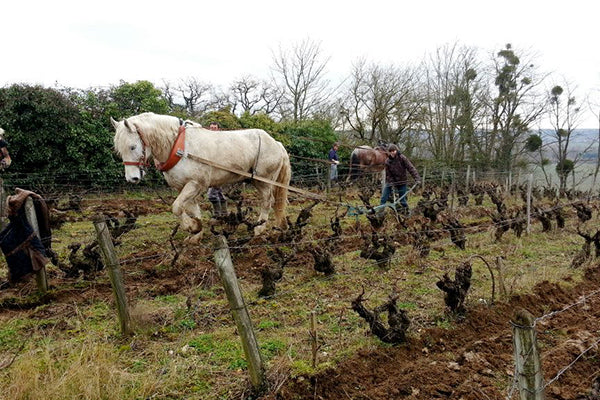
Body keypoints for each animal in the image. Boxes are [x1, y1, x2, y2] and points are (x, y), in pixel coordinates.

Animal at [112, 112, 292, 236]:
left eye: (133, 147)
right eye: (119, 150)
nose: (132, 178)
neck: (179, 146)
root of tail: (276, 143)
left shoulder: (195, 183)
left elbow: (176, 207)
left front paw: (192, 227)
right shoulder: (183, 187)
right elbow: (192, 209)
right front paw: (196, 231)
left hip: (264, 180)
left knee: (268, 201)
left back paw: (260, 228)